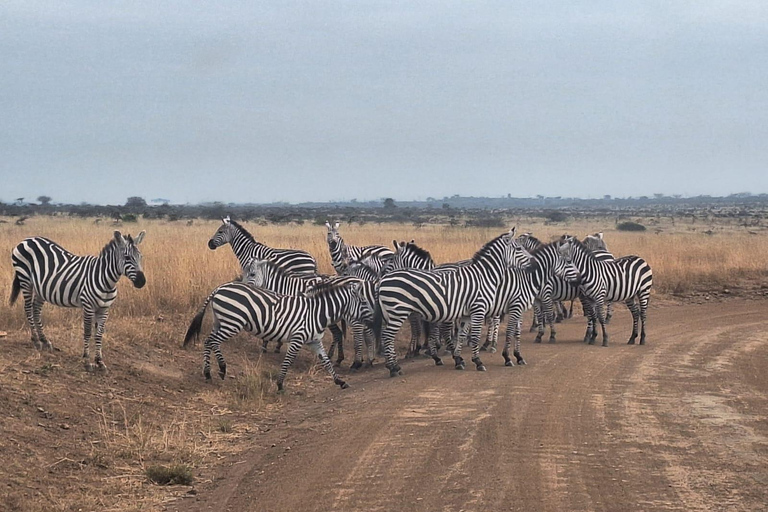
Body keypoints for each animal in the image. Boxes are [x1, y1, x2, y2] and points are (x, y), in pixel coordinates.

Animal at [10, 232, 147, 372]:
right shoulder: (88, 306)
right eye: (127, 257)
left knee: (36, 309)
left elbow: (99, 334)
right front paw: (87, 361)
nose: (142, 282)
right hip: (25, 278)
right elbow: (87, 332)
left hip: (41, 287)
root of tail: (27, 239)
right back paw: (36, 340)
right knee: (28, 308)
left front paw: (100, 362)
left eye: (140, 257)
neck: (106, 280)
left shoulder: (104, 309)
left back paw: (44, 340)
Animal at [183, 276, 368, 392]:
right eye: (364, 302)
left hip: (220, 322)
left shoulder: (314, 341)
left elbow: (327, 362)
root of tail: (219, 288)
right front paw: (279, 384)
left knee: (209, 341)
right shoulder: (297, 338)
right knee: (211, 342)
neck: (316, 313)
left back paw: (212, 372)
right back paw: (218, 369)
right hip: (232, 322)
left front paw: (340, 381)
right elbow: (288, 361)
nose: (371, 319)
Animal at [374, 228, 536, 376]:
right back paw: (393, 368)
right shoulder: (475, 309)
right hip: (397, 312)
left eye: (391, 259)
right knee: (387, 336)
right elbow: (470, 335)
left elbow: (459, 334)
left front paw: (456, 358)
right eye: (519, 249)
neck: (484, 275)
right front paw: (476, 362)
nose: (534, 261)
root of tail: (384, 280)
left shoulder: (463, 313)